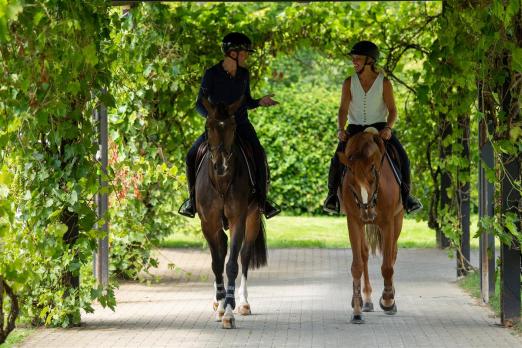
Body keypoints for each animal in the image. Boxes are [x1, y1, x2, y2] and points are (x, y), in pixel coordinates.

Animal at [196, 97, 268, 328]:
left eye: (233, 127)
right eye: (208, 126)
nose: (221, 164)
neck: (221, 182)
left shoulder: (239, 220)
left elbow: (231, 265)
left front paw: (228, 312)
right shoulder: (208, 223)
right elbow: (216, 263)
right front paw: (220, 304)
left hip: (253, 219)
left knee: (244, 256)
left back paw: (243, 303)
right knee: (221, 249)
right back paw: (217, 301)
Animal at [336, 127, 404, 324]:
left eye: (373, 178)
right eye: (352, 183)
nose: (367, 213)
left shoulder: (388, 223)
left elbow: (387, 265)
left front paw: (388, 300)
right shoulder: (353, 222)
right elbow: (357, 265)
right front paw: (357, 310)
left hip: (398, 220)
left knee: (393, 254)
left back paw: (390, 297)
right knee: (365, 254)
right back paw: (365, 299)